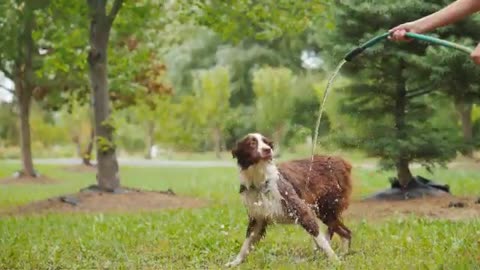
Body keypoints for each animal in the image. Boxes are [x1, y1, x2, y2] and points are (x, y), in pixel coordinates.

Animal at [225, 132, 352, 266]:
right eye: (252, 143)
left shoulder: (302, 211)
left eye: (266, 142)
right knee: (346, 232)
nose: (268, 150)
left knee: (345, 233)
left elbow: (321, 241)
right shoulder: (258, 219)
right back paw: (344, 255)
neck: (260, 182)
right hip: (326, 212)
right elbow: (246, 245)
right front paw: (235, 262)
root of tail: (341, 161)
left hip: (326, 210)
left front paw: (335, 261)